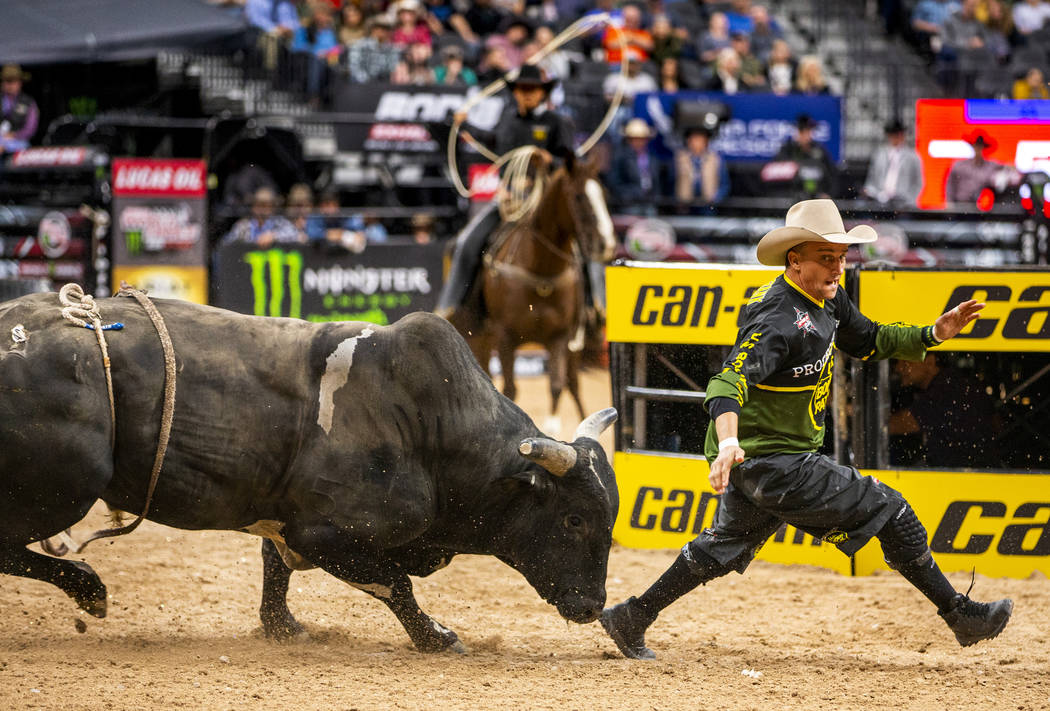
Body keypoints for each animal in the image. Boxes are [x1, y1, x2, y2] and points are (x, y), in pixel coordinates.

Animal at [443, 12, 621, 220]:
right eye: (524, 87)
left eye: (533, 88)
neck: (528, 115)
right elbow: (490, 135)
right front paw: (459, 119)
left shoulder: (563, 130)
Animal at [461, 158, 613, 424]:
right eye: (578, 196)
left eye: (603, 194)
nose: (606, 243)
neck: (541, 272)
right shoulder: (505, 336)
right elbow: (509, 389)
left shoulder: (559, 338)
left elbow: (556, 386)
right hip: (480, 337)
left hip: (575, 345)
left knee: (573, 385)